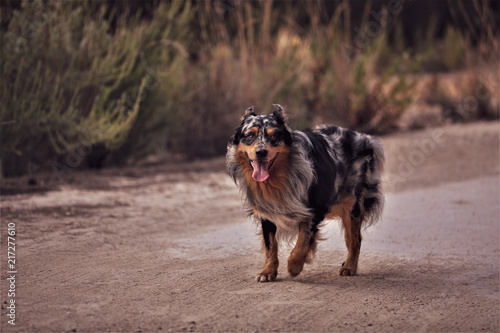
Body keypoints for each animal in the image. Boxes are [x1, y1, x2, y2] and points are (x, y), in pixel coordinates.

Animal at [228, 104, 386, 280]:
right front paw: (268, 271)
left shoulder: (313, 211)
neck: (278, 178)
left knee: (355, 240)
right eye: (250, 135)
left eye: (274, 136)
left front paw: (294, 266)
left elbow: (303, 241)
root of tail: (365, 138)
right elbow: (271, 245)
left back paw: (349, 267)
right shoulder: (266, 211)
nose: (261, 152)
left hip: (353, 206)